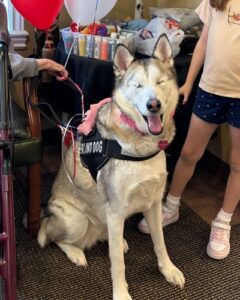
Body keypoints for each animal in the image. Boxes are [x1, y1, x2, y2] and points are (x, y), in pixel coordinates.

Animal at [38, 34, 184, 300]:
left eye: (160, 82)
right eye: (138, 86)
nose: (154, 105)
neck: (141, 144)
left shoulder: (154, 204)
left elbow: (160, 243)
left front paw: (168, 270)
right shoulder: (116, 210)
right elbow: (117, 264)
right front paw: (121, 293)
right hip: (76, 220)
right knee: (56, 238)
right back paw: (76, 253)